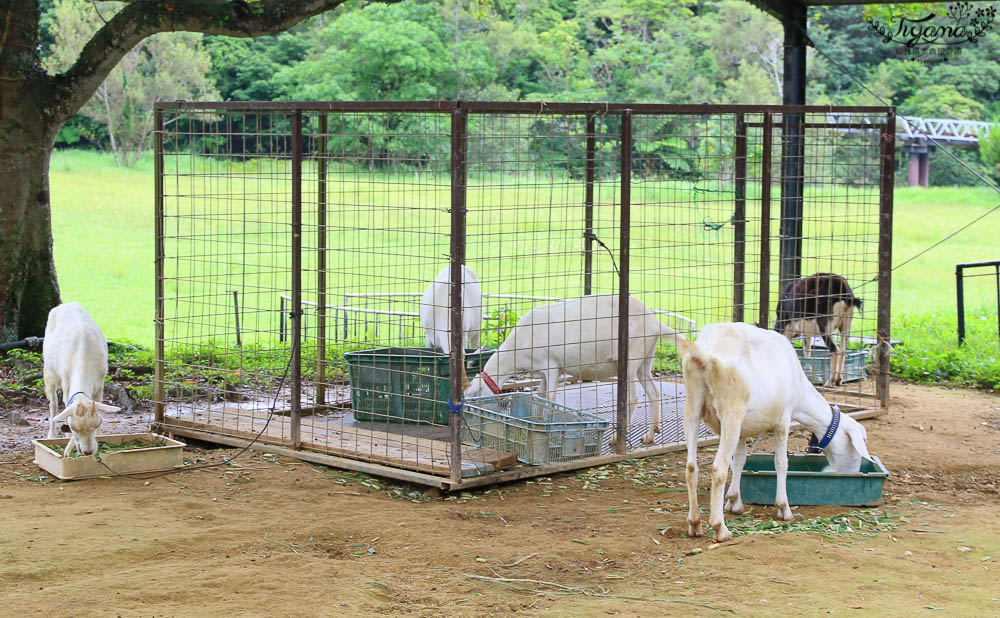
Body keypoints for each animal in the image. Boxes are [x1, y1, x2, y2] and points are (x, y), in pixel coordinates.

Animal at [42, 300, 119, 454]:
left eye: (96, 425)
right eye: (74, 428)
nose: (87, 452)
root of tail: (66, 304)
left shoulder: (100, 383)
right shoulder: (66, 382)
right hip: (49, 372)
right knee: (53, 403)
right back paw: (51, 435)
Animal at [464, 292, 684, 442]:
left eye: (475, 396)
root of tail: (654, 323)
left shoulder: (551, 365)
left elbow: (550, 398)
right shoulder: (545, 372)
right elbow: (540, 396)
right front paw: (537, 421)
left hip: (631, 357)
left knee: (632, 398)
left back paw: (617, 439)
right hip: (645, 358)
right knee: (654, 392)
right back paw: (650, 435)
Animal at [676, 320, 872, 540]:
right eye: (860, 444)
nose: (854, 474)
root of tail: (704, 353)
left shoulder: (743, 429)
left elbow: (740, 461)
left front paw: (734, 501)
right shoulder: (783, 421)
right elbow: (781, 463)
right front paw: (784, 508)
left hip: (693, 408)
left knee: (691, 467)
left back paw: (694, 524)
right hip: (731, 411)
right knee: (718, 468)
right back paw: (720, 528)